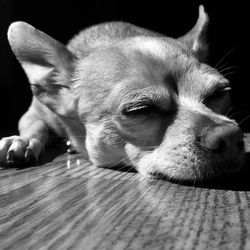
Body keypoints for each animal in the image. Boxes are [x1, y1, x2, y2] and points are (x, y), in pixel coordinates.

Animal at [0, 5, 246, 182]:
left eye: (219, 93)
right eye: (140, 109)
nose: (229, 135)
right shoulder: (34, 113)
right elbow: (36, 125)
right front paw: (22, 140)